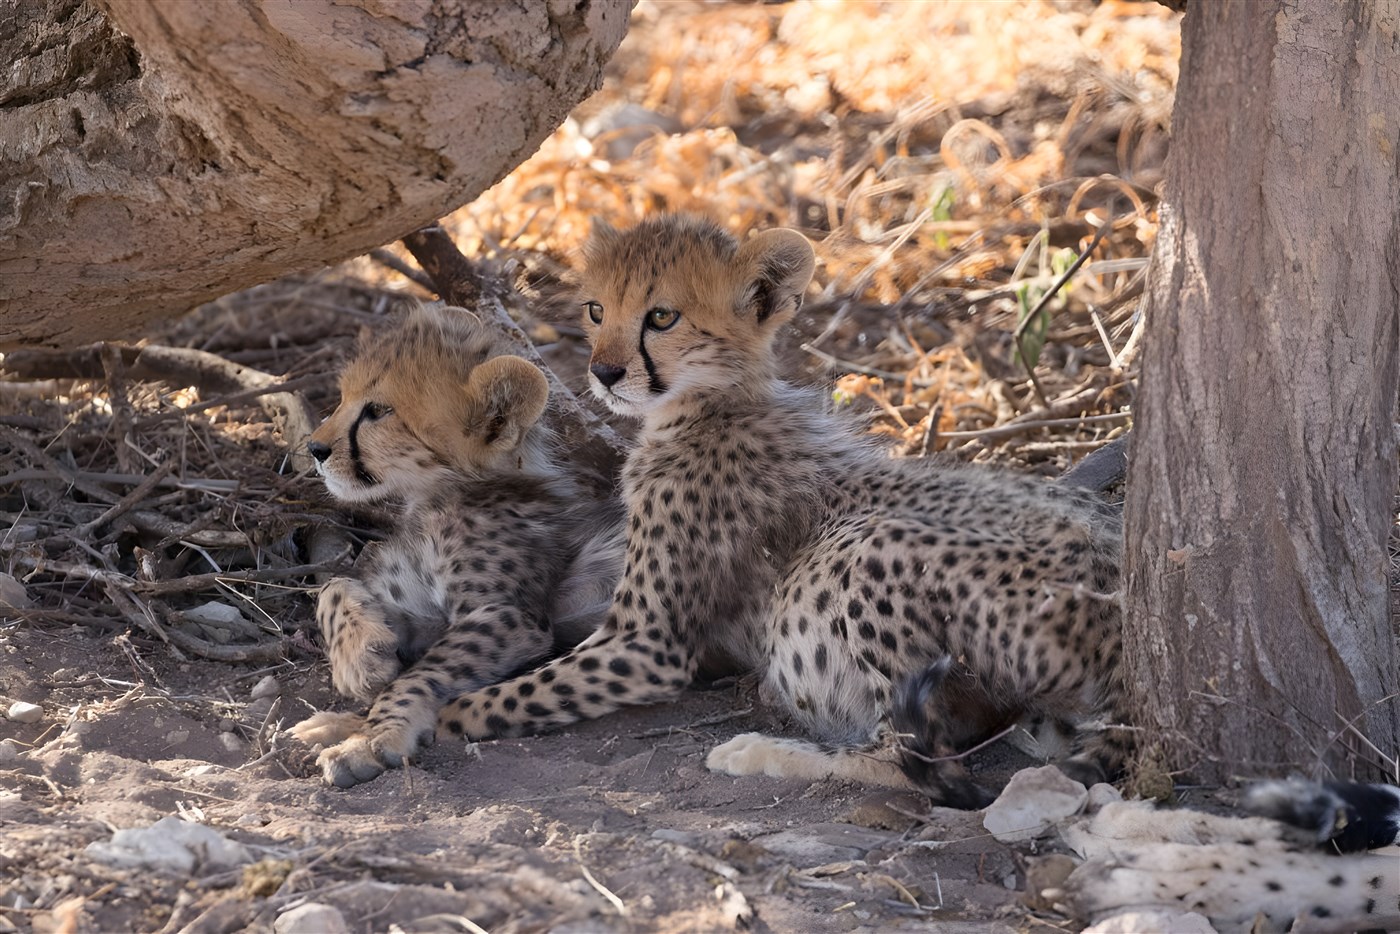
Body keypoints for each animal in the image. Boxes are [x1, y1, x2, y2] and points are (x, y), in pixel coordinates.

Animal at [288, 302, 622, 787]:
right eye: (344, 396)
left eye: (378, 411)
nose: (315, 448)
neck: (438, 494)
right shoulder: (425, 615)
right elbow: (333, 588)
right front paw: (361, 660)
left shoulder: (506, 616)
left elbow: (416, 677)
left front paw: (371, 738)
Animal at [434, 214, 1125, 807]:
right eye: (596, 309)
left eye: (661, 316)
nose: (603, 372)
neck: (713, 401)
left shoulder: (646, 646)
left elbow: (499, 698)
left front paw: (423, 717)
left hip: (860, 548)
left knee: (911, 759)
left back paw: (760, 751)